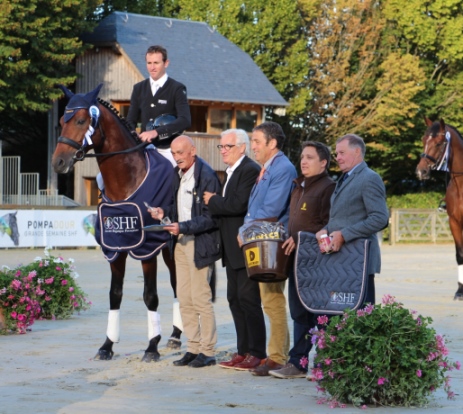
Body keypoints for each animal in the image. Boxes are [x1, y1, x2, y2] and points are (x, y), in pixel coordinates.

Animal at [50, 83, 181, 360]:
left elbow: (150, 295)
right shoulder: (115, 247)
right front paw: (107, 345)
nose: (58, 162)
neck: (126, 180)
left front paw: (152, 346)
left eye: (80, 120)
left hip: (173, 247)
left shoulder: (147, 248)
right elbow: (115, 294)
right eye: (62, 121)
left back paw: (175, 336)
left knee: (178, 284)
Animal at [416, 116, 463, 300]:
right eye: (424, 140)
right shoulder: (454, 222)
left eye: (439, 143)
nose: (421, 172)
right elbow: (460, 255)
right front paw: (459, 291)